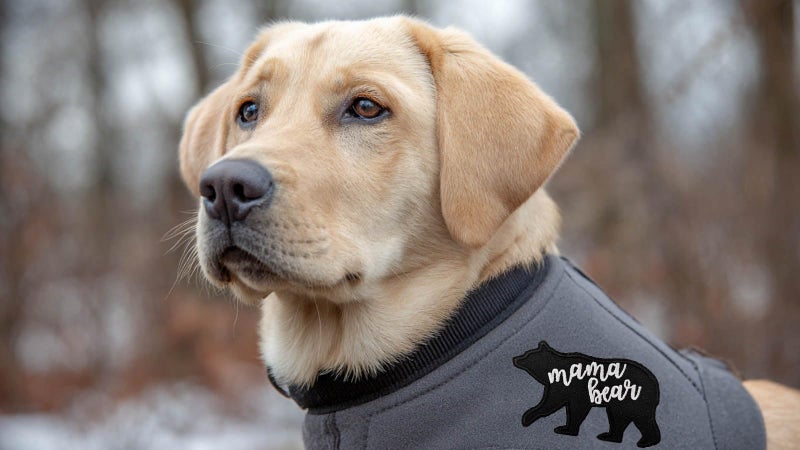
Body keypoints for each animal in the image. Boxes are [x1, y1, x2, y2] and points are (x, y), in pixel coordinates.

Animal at [513, 341, 661, 448]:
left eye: (527, 354)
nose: (516, 358)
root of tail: (655, 386)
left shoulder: (573, 387)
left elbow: (561, 404)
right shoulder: (563, 388)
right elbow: (560, 403)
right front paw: (564, 427)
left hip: (632, 398)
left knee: (634, 417)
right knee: (627, 419)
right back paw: (615, 437)